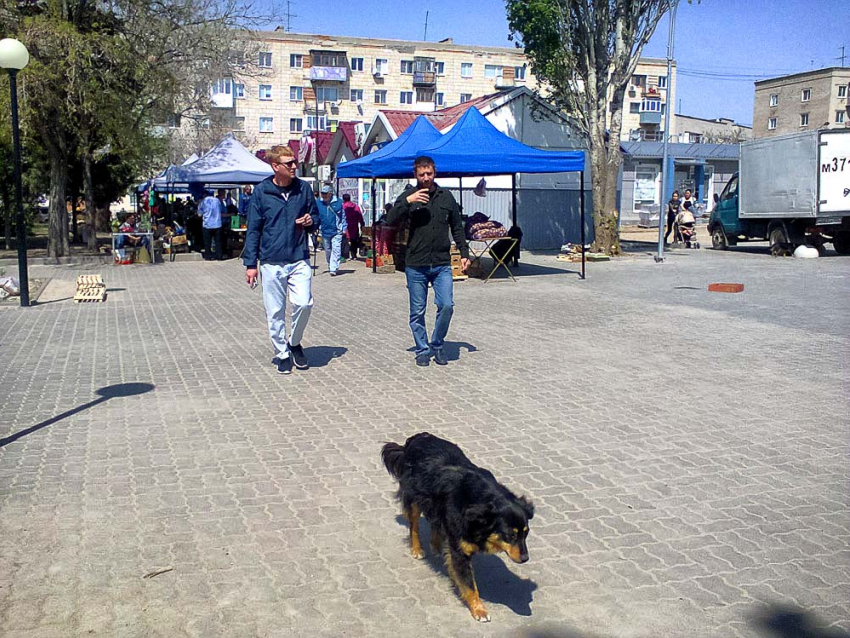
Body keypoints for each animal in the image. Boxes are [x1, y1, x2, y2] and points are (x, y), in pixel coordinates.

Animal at [382, 432, 532, 624]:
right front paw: (479, 610)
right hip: (414, 495)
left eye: (525, 534)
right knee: (414, 525)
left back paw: (436, 545)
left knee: (436, 522)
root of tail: (417, 437)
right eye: (510, 535)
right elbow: (469, 584)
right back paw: (417, 548)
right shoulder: (460, 550)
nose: (525, 558)